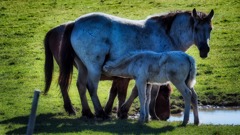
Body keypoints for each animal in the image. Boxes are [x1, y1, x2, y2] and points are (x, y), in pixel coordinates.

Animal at [42, 21, 171, 119]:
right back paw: (71, 109)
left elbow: (114, 92)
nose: (167, 116)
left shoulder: (118, 79)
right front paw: (121, 112)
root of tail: (53, 30)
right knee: (64, 84)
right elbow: (124, 94)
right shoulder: (123, 80)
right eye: (165, 96)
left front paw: (109, 109)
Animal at [59, 8, 214, 119]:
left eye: (210, 28)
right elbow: (148, 93)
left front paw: (126, 111)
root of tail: (75, 23)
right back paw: (100, 113)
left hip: (83, 67)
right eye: (196, 28)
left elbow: (140, 92)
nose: (205, 50)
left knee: (81, 86)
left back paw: (87, 112)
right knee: (91, 87)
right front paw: (148, 114)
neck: (167, 34)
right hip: (94, 68)